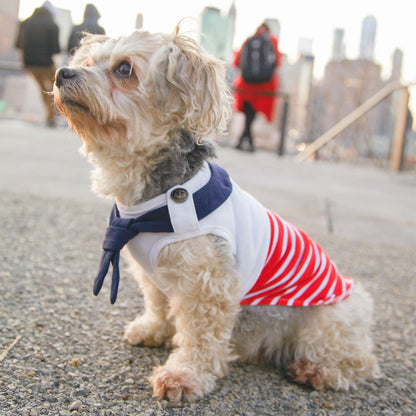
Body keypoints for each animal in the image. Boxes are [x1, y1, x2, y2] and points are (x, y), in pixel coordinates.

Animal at [52, 26, 380, 404]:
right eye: (89, 62)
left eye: (124, 69)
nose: (62, 73)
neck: (153, 199)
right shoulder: (153, 274)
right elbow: (158, 304)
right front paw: (153, 329)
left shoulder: (206, 285)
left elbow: (200, 337)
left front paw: (183, 374)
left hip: (331, 320)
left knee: (360, 361)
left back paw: (318, 370)